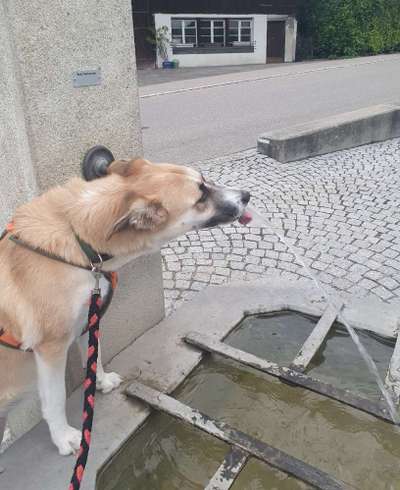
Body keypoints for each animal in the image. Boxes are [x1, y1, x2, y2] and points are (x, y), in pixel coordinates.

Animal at [0, 158, 250, 456]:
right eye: (201, 196)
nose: (246, 196)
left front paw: (100, 383)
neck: (79, 238)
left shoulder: (89, 318)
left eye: (205, 180)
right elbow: (55, 399)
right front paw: (64, 438)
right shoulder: (51, 347)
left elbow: (94, 357)